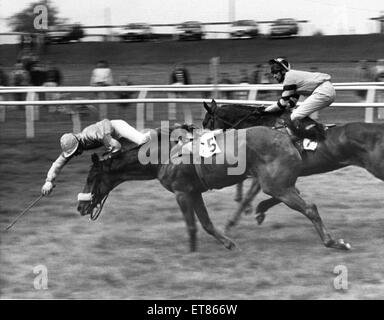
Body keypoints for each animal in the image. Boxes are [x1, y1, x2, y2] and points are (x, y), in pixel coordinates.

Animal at [76, 123, 350, 252]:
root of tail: (288, 137)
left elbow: (191, 225)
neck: (161, 155)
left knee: (310, 208)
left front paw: (191, 253)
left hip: (277, 185)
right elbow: (206, 223)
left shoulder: (182, 192)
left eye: (91, 178)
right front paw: (229, 244)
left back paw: (335, 242)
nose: (80, 207)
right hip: (281, 184)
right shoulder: (194, 191)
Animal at [202, 100, 384, 232]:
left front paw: (231, 222)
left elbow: (250, 194)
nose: (205, 144)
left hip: (378, 167)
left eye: (206, 122)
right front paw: (256, 209)